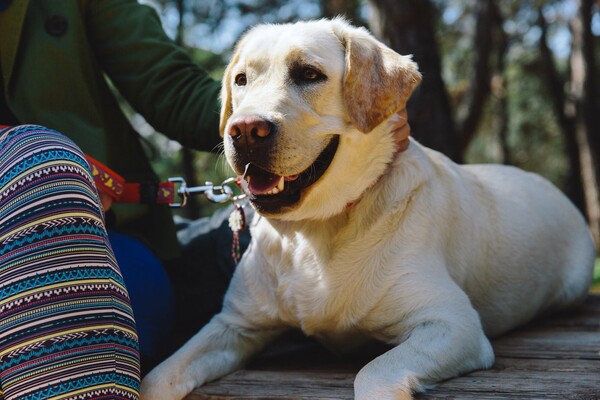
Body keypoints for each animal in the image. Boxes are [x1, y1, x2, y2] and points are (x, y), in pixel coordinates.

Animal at [141, 17, 596, 398]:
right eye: (240, 80)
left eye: (309, 74)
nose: (245, 130)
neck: (313, 231)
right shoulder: (234, 324)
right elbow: (156, 377)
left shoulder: (453, 324)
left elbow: (372, 372)